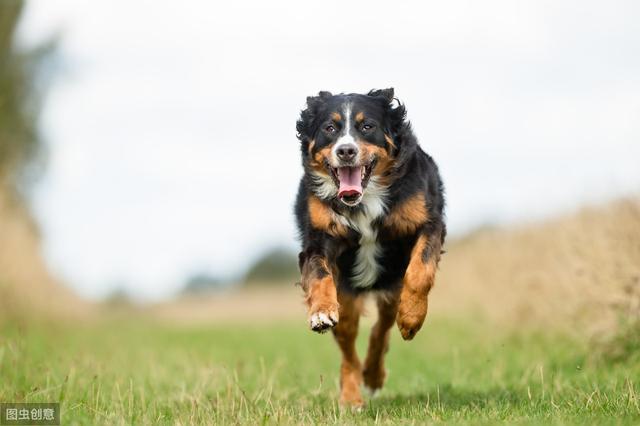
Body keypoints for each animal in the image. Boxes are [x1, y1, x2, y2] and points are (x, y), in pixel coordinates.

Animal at [294, 88, 444, 408]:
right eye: (330, 128)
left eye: (367, 126)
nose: (346, 151)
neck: (364, 199)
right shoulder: (319, 238)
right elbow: (319, 274)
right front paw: (320, 312)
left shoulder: (429, 223)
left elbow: (421, 270)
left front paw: (412, 317)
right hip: (347, 297)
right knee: (349, 348)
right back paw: (352, 397)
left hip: (391, 289)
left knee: (381, 329)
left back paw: (374, 375)